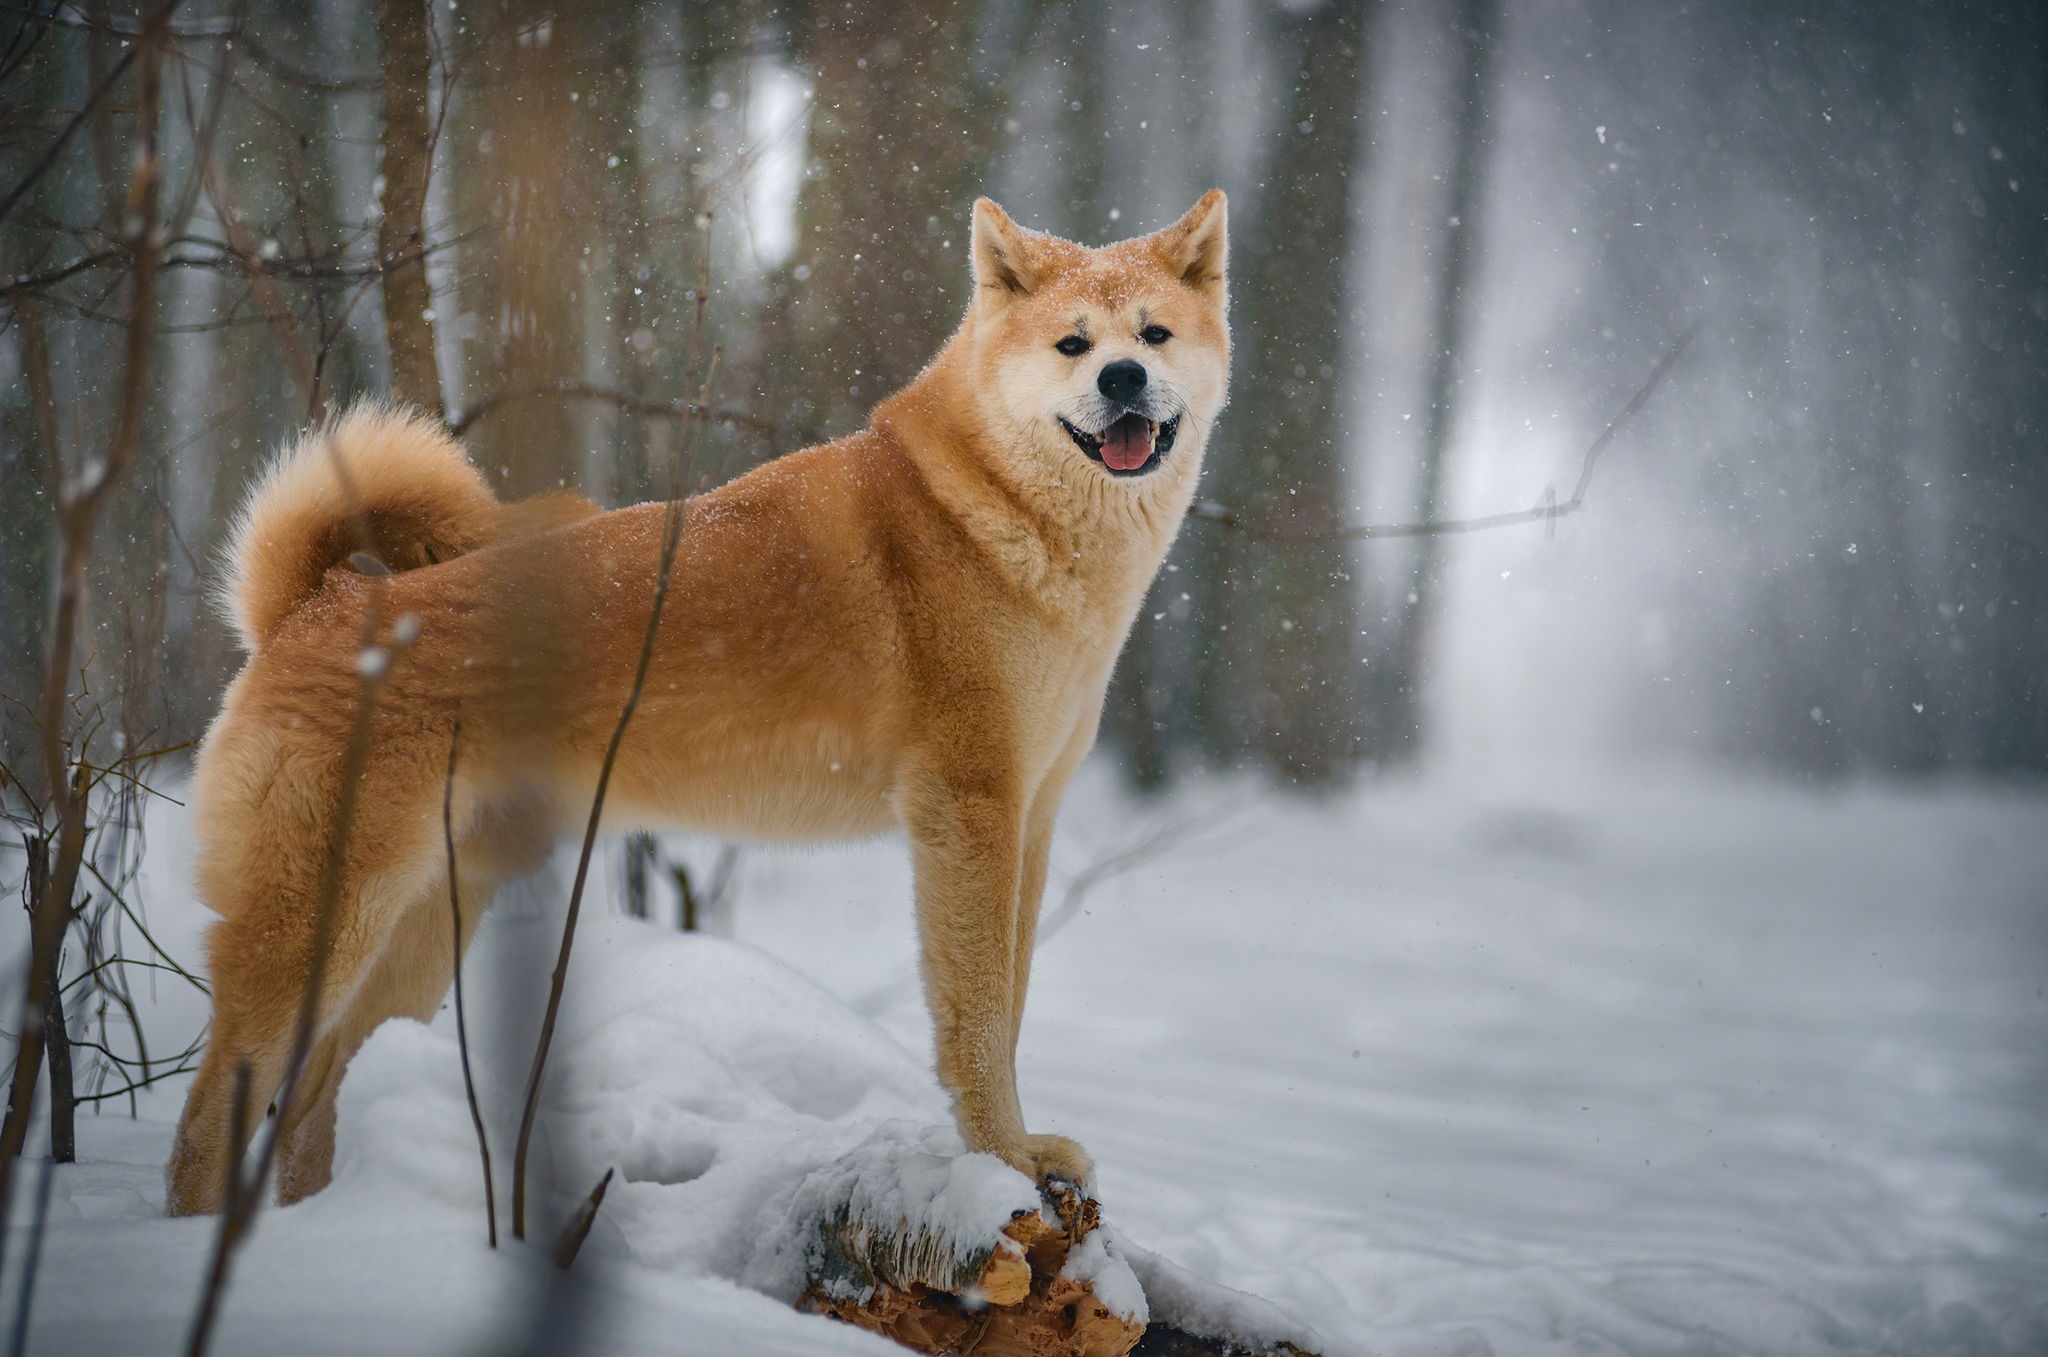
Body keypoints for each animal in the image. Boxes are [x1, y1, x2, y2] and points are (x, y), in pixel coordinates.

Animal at [167, 188, 1220, 1211]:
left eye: (1153, 334)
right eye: (1073, 344)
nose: (1123, 379)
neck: (986, 515)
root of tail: (314, 603)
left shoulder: (1029, 819)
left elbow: (1012, 1005)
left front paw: (1021, 1151)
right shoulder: (968, 814)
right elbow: (979, 1022)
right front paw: (1002, 1160)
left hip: (428, 924)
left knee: (311, 1106)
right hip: (315, 926)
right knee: (210, 1119)